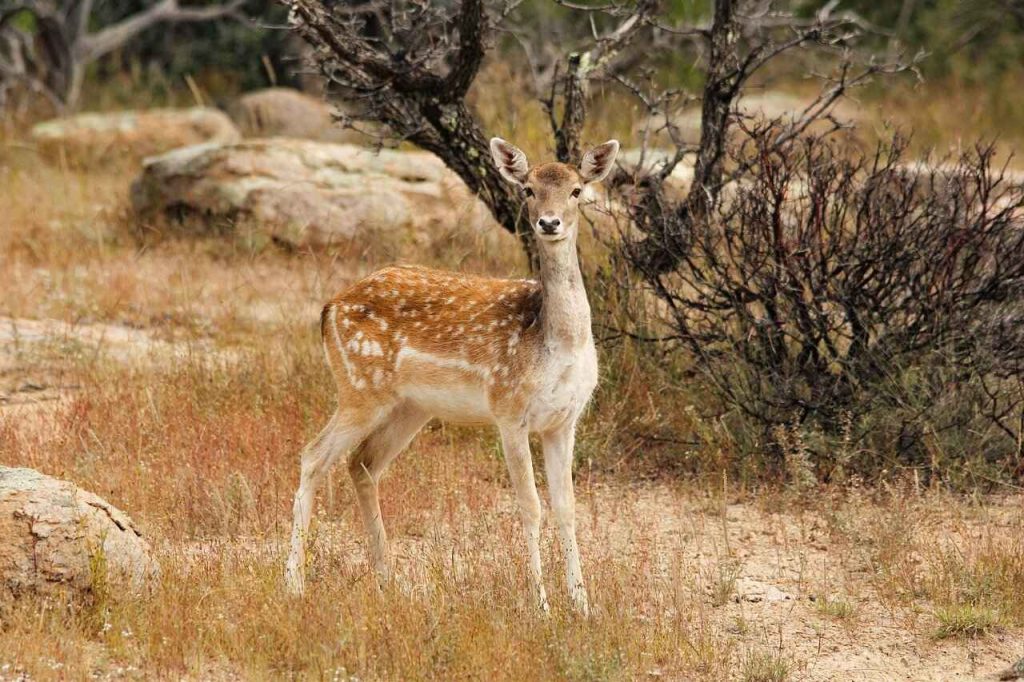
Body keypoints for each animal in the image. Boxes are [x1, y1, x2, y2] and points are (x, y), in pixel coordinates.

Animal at [284, 137, 620, 615]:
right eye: (529, 189)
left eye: (577, 190)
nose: (549, 222)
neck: (554, 343)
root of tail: (329, 308)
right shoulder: (508, 409)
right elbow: (530, 506)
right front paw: (541, 606)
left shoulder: (564, 420)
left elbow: (567, 508)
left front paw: (582, 607)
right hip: (359, 388)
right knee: (313, 455)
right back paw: (293, 583)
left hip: (410, 407)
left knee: (362, 463)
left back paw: (387, 580)